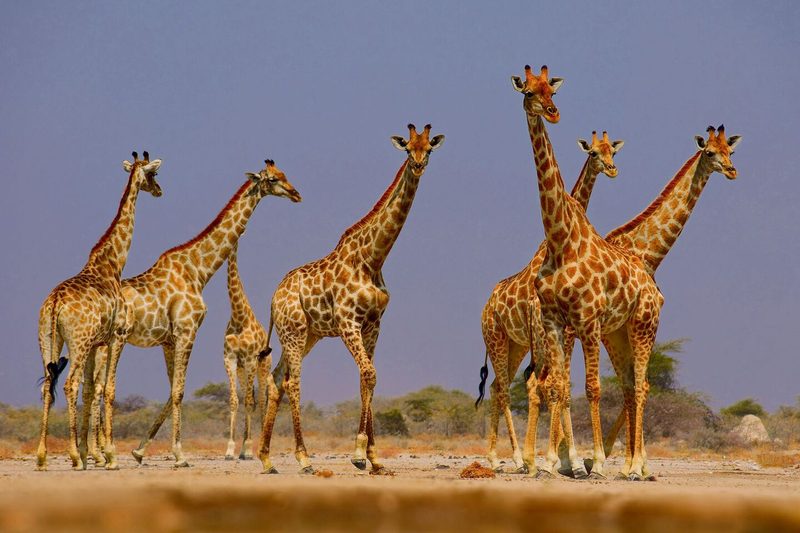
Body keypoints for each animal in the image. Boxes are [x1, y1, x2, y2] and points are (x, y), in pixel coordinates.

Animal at [36, 151, 162, 470]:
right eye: (154, 174)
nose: (159, 191)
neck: (113, 265)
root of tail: (55, 304)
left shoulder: (96, 344)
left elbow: (92, 390)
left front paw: (89, 451)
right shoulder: (117, 336)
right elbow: (109, 389)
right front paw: (109, 456)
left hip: (49, 340)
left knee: (48, 385)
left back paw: (42, 457)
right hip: (77, 343)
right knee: (68, 384)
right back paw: (72, 457)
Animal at [87, 159, 301, 468]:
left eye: (284, 174)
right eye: (273, 179)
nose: (296, 194)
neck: (198, 271)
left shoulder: (168, 339)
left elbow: (171, 391)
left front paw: (140, 450)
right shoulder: (187, 331)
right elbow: (179, 391)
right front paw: (179, 455)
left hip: (100, 346)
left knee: (92, 388)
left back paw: (94, 453)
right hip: (116, 341)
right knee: (103, 389)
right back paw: (106, 452)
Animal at [258, 124, 445, 475]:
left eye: (428, 149)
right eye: (407, 148)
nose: (417, 165)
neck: (373, 258)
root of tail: (273, 298)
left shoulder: (374, 324)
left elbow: (366, 378)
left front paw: (375, 458)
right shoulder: (348, 322)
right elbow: (369, 374)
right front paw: (359, 455)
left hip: (309, 335)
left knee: (277, 380)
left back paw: (266, 458)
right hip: (294, 332)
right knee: (292, 382)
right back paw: (303, 458)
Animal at [478, 131, 624, 474]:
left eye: (612, 152)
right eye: (594, 153)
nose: (612, 169)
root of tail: (485, 307)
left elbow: (561, 386)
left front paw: (567, 460)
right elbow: (553, 387)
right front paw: (560, 460)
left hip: (515, 346)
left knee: (500, 387)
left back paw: (501, 457)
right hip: (498, 339)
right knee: (514, 388)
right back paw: (517, 458)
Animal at [513, 64, 664, 480]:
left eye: (552, 91)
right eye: (529, 91)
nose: (552, 113)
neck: (561, 239)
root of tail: (652, 286)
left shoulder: (587, 320)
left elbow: (592, 388)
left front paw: (592, 460)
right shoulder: (554, 321)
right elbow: (560, 388)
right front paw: (553, 462)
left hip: (642, 326)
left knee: (640, 385)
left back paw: (636, 466)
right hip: (618, 333)